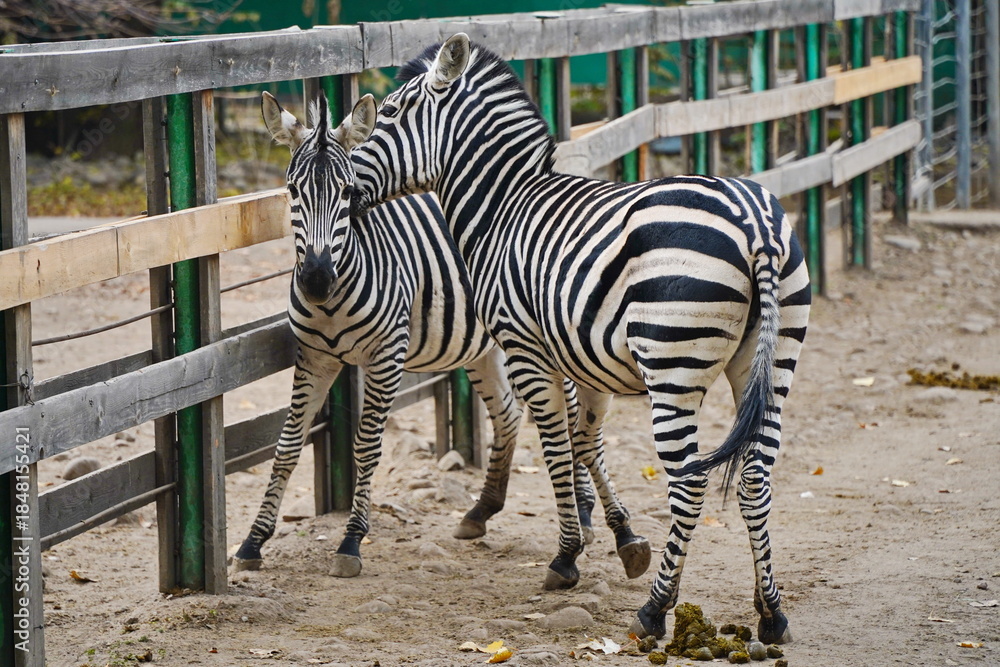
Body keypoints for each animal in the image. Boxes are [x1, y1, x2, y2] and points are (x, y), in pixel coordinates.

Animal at [232, 92, 650, 578]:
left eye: (348, 193)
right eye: (293, 191)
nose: (316, 280)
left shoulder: (386, 355)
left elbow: (366, 445)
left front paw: (351, 540)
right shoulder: (314, 357)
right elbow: (286, 447)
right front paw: (253, 541)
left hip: (551, 343)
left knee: (574, 428)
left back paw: (588, 517)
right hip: (485, 346)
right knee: (509, 414)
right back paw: (482, 511)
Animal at [349, 35, 811, 643]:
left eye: (391, 113)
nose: (345, 188)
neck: (502, 208)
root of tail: (753, 219)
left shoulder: (525, 348)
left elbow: (554, 445)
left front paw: (567, 557)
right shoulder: (586, 359)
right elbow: (584, 440)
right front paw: (619, 537)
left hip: (674, 369)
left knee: (689, 484)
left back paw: (655, 609)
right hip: (772, 363)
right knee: (756, 476)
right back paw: (771, 613)